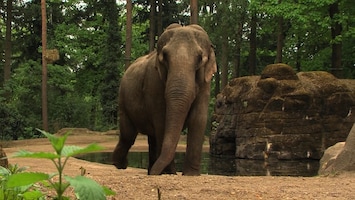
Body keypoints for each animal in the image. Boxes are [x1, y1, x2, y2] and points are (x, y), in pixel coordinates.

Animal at [112, 23, 217, 176]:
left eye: (199, 58)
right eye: (165, 57)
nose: (154, 173)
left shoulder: (205, 84)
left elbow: (198, 119)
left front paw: (190, 174)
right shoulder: (153, 82)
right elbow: (161, 120)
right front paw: (169, 173)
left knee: (150, 138)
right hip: (123, 101)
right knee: (128, 136)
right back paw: (120, 165)